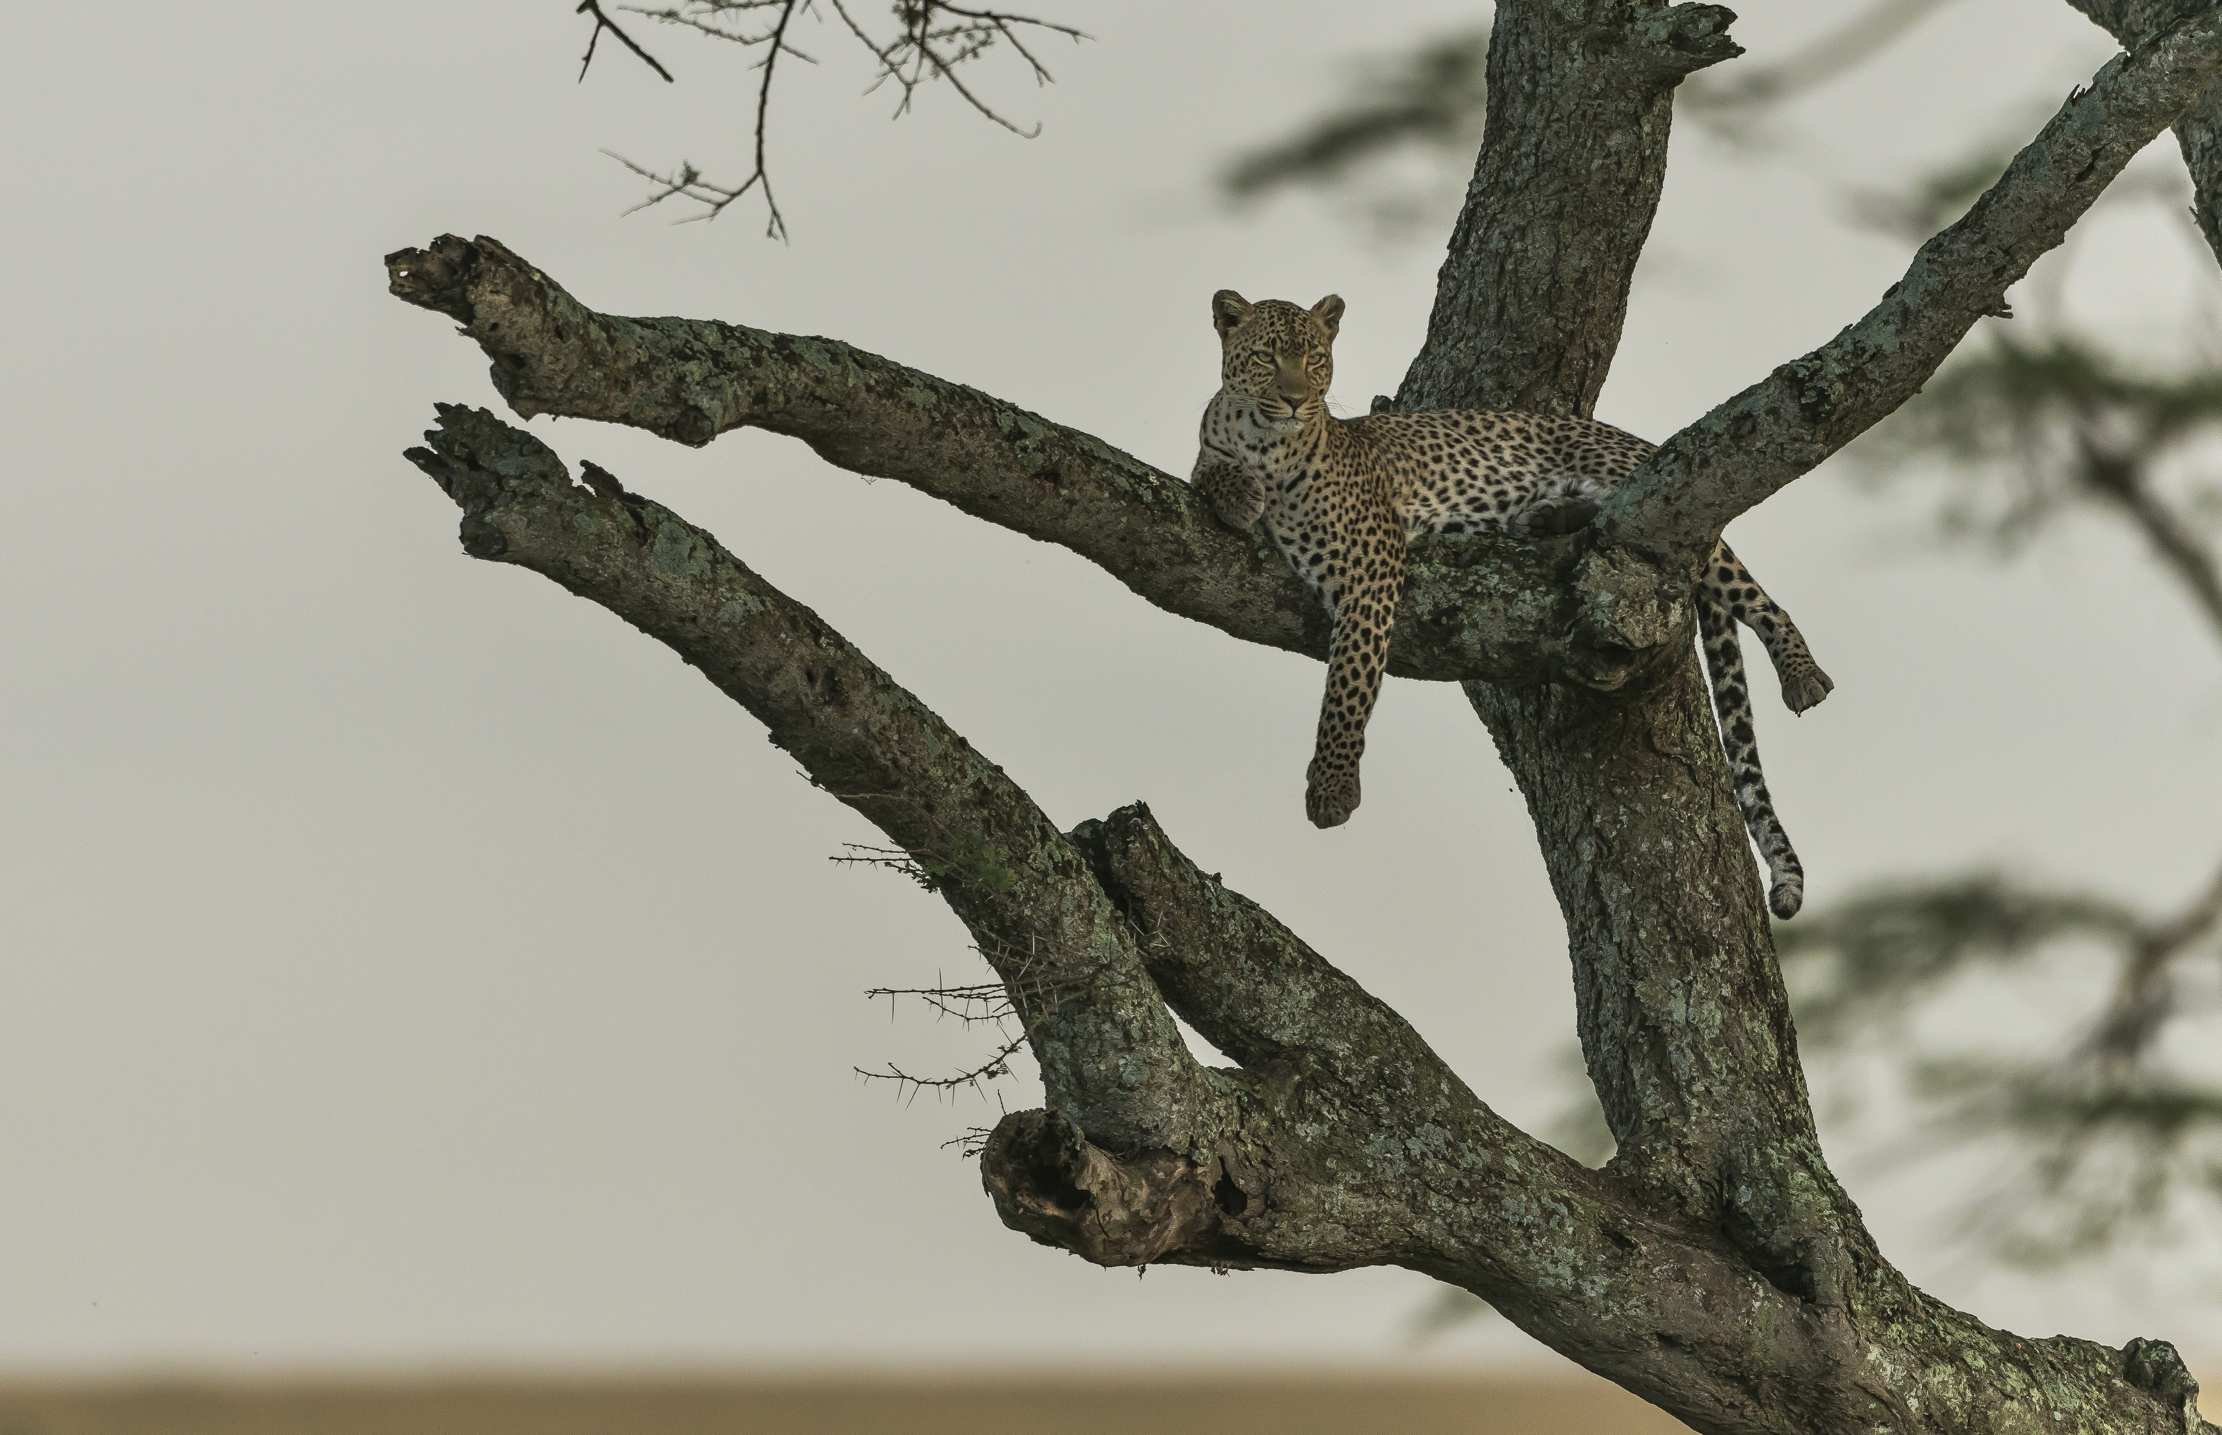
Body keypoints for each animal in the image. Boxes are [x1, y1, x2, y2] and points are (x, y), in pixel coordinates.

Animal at [1191, 290, 1833, 920]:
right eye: (1268, 357)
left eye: (1315, 359)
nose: (1297, 401)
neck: (1267, 445)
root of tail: (1635, 439)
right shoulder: (1213, 454)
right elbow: (1208, 470)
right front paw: (1239, 493)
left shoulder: (1372, 567)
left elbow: (1348, 684)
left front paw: (1331, 787)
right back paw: (1546, 516)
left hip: (1655, 488)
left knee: (1753, 593)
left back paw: (1803, 674)